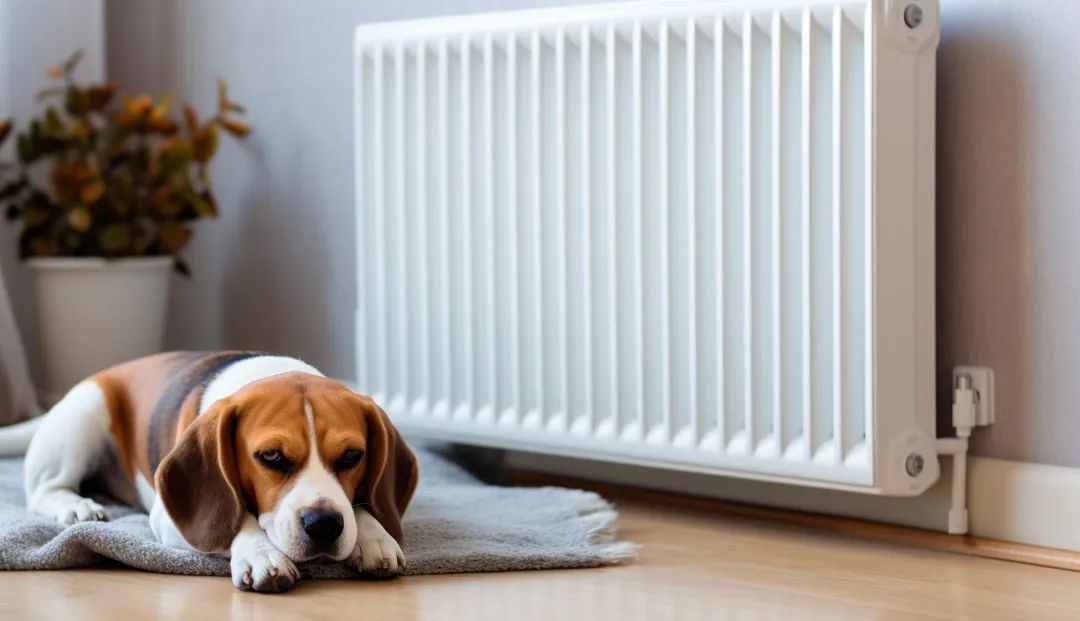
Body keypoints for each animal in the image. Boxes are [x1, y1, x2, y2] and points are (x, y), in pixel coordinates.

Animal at [0, 352, 416, 596]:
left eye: (352, 456)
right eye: (271, 456)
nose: (325, 525)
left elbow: (359, 507)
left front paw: (373, 535)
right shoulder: (170, 518)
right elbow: (234, 521)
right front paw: (260, 553)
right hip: (86, 412)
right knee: (46, 489)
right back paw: (77, 508)